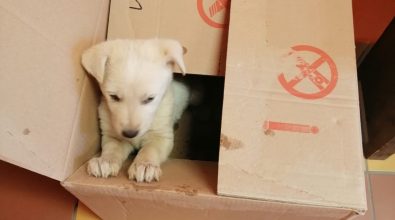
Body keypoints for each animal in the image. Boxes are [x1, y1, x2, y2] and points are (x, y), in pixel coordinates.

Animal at [81, 39, 189, 182]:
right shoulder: (114, 135)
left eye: (150, 99)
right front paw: (105, 161)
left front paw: (145, 165)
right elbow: (112, 148)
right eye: (114, 97)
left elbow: (150, 148)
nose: (130, 134)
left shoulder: (161, 135)